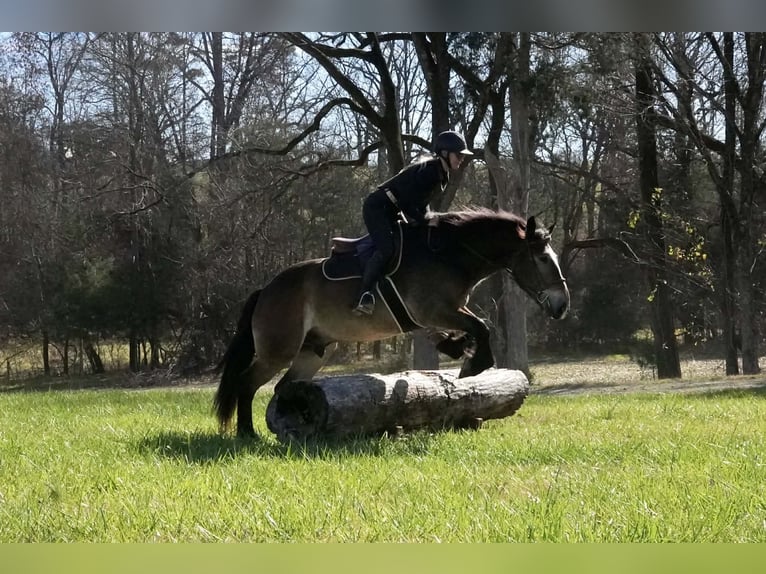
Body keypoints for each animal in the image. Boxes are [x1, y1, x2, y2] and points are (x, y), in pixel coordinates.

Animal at [214, 208, 570, 437]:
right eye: (542, 259)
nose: (562, 305)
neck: (450, 255)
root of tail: (266, 290)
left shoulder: (443, 313)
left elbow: (472, 329)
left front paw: (457, 349)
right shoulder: (434, 310)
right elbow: (483, 326)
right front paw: (474, 365)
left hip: (314, 352)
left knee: (284, 386)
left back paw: (297, 420)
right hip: (279, 349)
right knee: (247, 383)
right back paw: (247, 434)